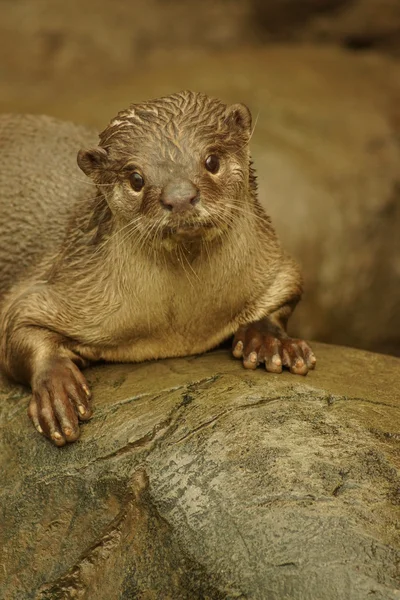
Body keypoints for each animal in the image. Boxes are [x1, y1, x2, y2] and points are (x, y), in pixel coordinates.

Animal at [0, 90, 316, 446]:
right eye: (136, 178)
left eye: (212, 161)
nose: (179, 197)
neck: (176, 325)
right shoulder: (58, 279)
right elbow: (15, 328)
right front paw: (57, 388)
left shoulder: (274, 264)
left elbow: (286, 290)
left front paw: (271, 342)